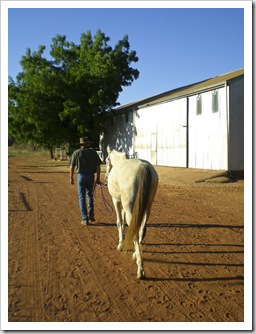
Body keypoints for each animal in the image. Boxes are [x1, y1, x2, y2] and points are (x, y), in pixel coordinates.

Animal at [105, 149, 158, 280]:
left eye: (106, 160)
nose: (106, 176)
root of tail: (143, 166)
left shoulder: (116, 201)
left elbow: (119, 222)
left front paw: (120, 244)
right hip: (146, 207)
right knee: (142, 229)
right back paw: (136, 255)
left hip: (131, 209)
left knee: (135, 231)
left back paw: (140, 270)